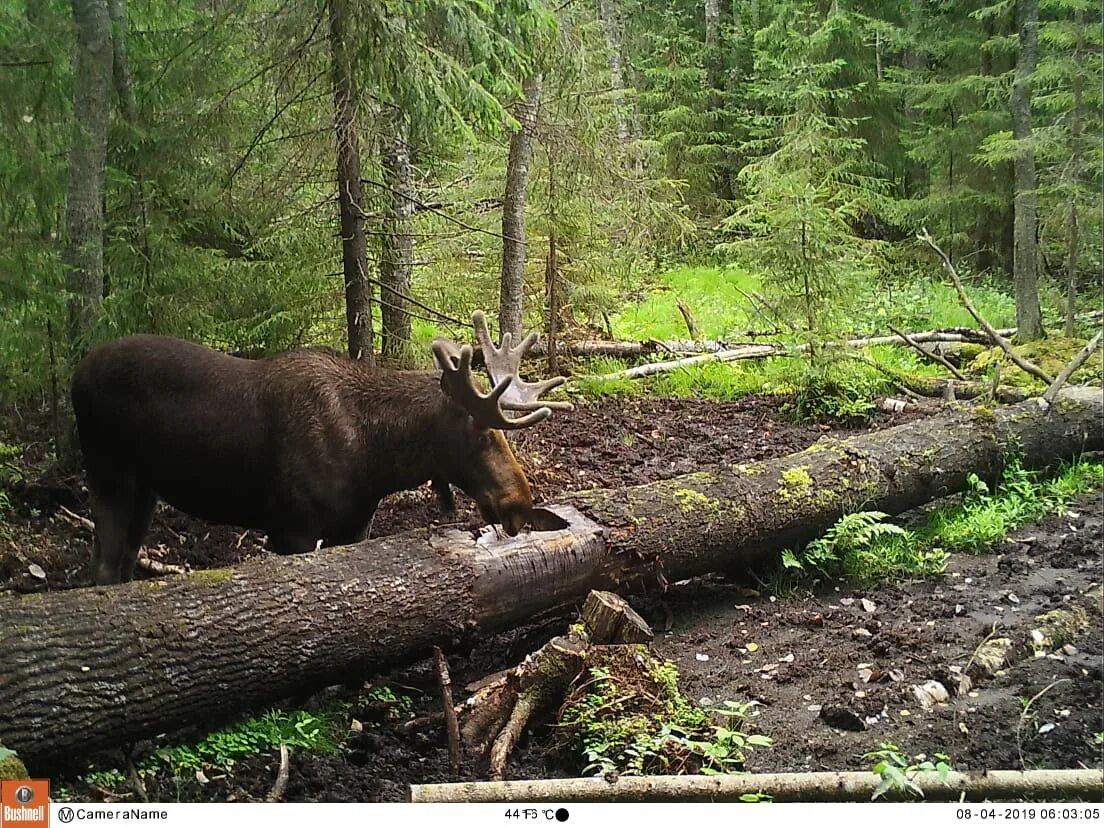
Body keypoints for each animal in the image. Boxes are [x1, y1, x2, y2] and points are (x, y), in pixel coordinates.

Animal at [71, 311, 569, 582]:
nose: (519, 503)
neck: (376, 461)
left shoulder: (354, 526)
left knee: (125, 562)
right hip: (107, 472)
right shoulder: (291, 528)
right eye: (482, 433)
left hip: (146, 489)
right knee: (102, 567)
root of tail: (76, 372)